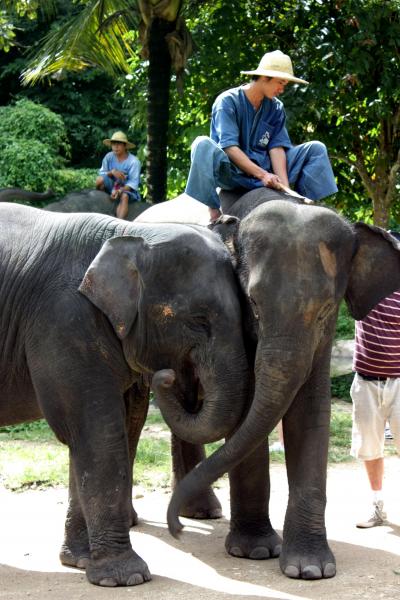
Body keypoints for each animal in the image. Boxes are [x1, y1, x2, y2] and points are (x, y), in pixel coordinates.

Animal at [0, 204, 250, 588]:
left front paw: (80, 561)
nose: (178, 531)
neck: (127, 235)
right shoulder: (64, 320)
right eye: (198, 320)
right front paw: (126, 577)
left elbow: (93, 433)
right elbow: (96, 432)